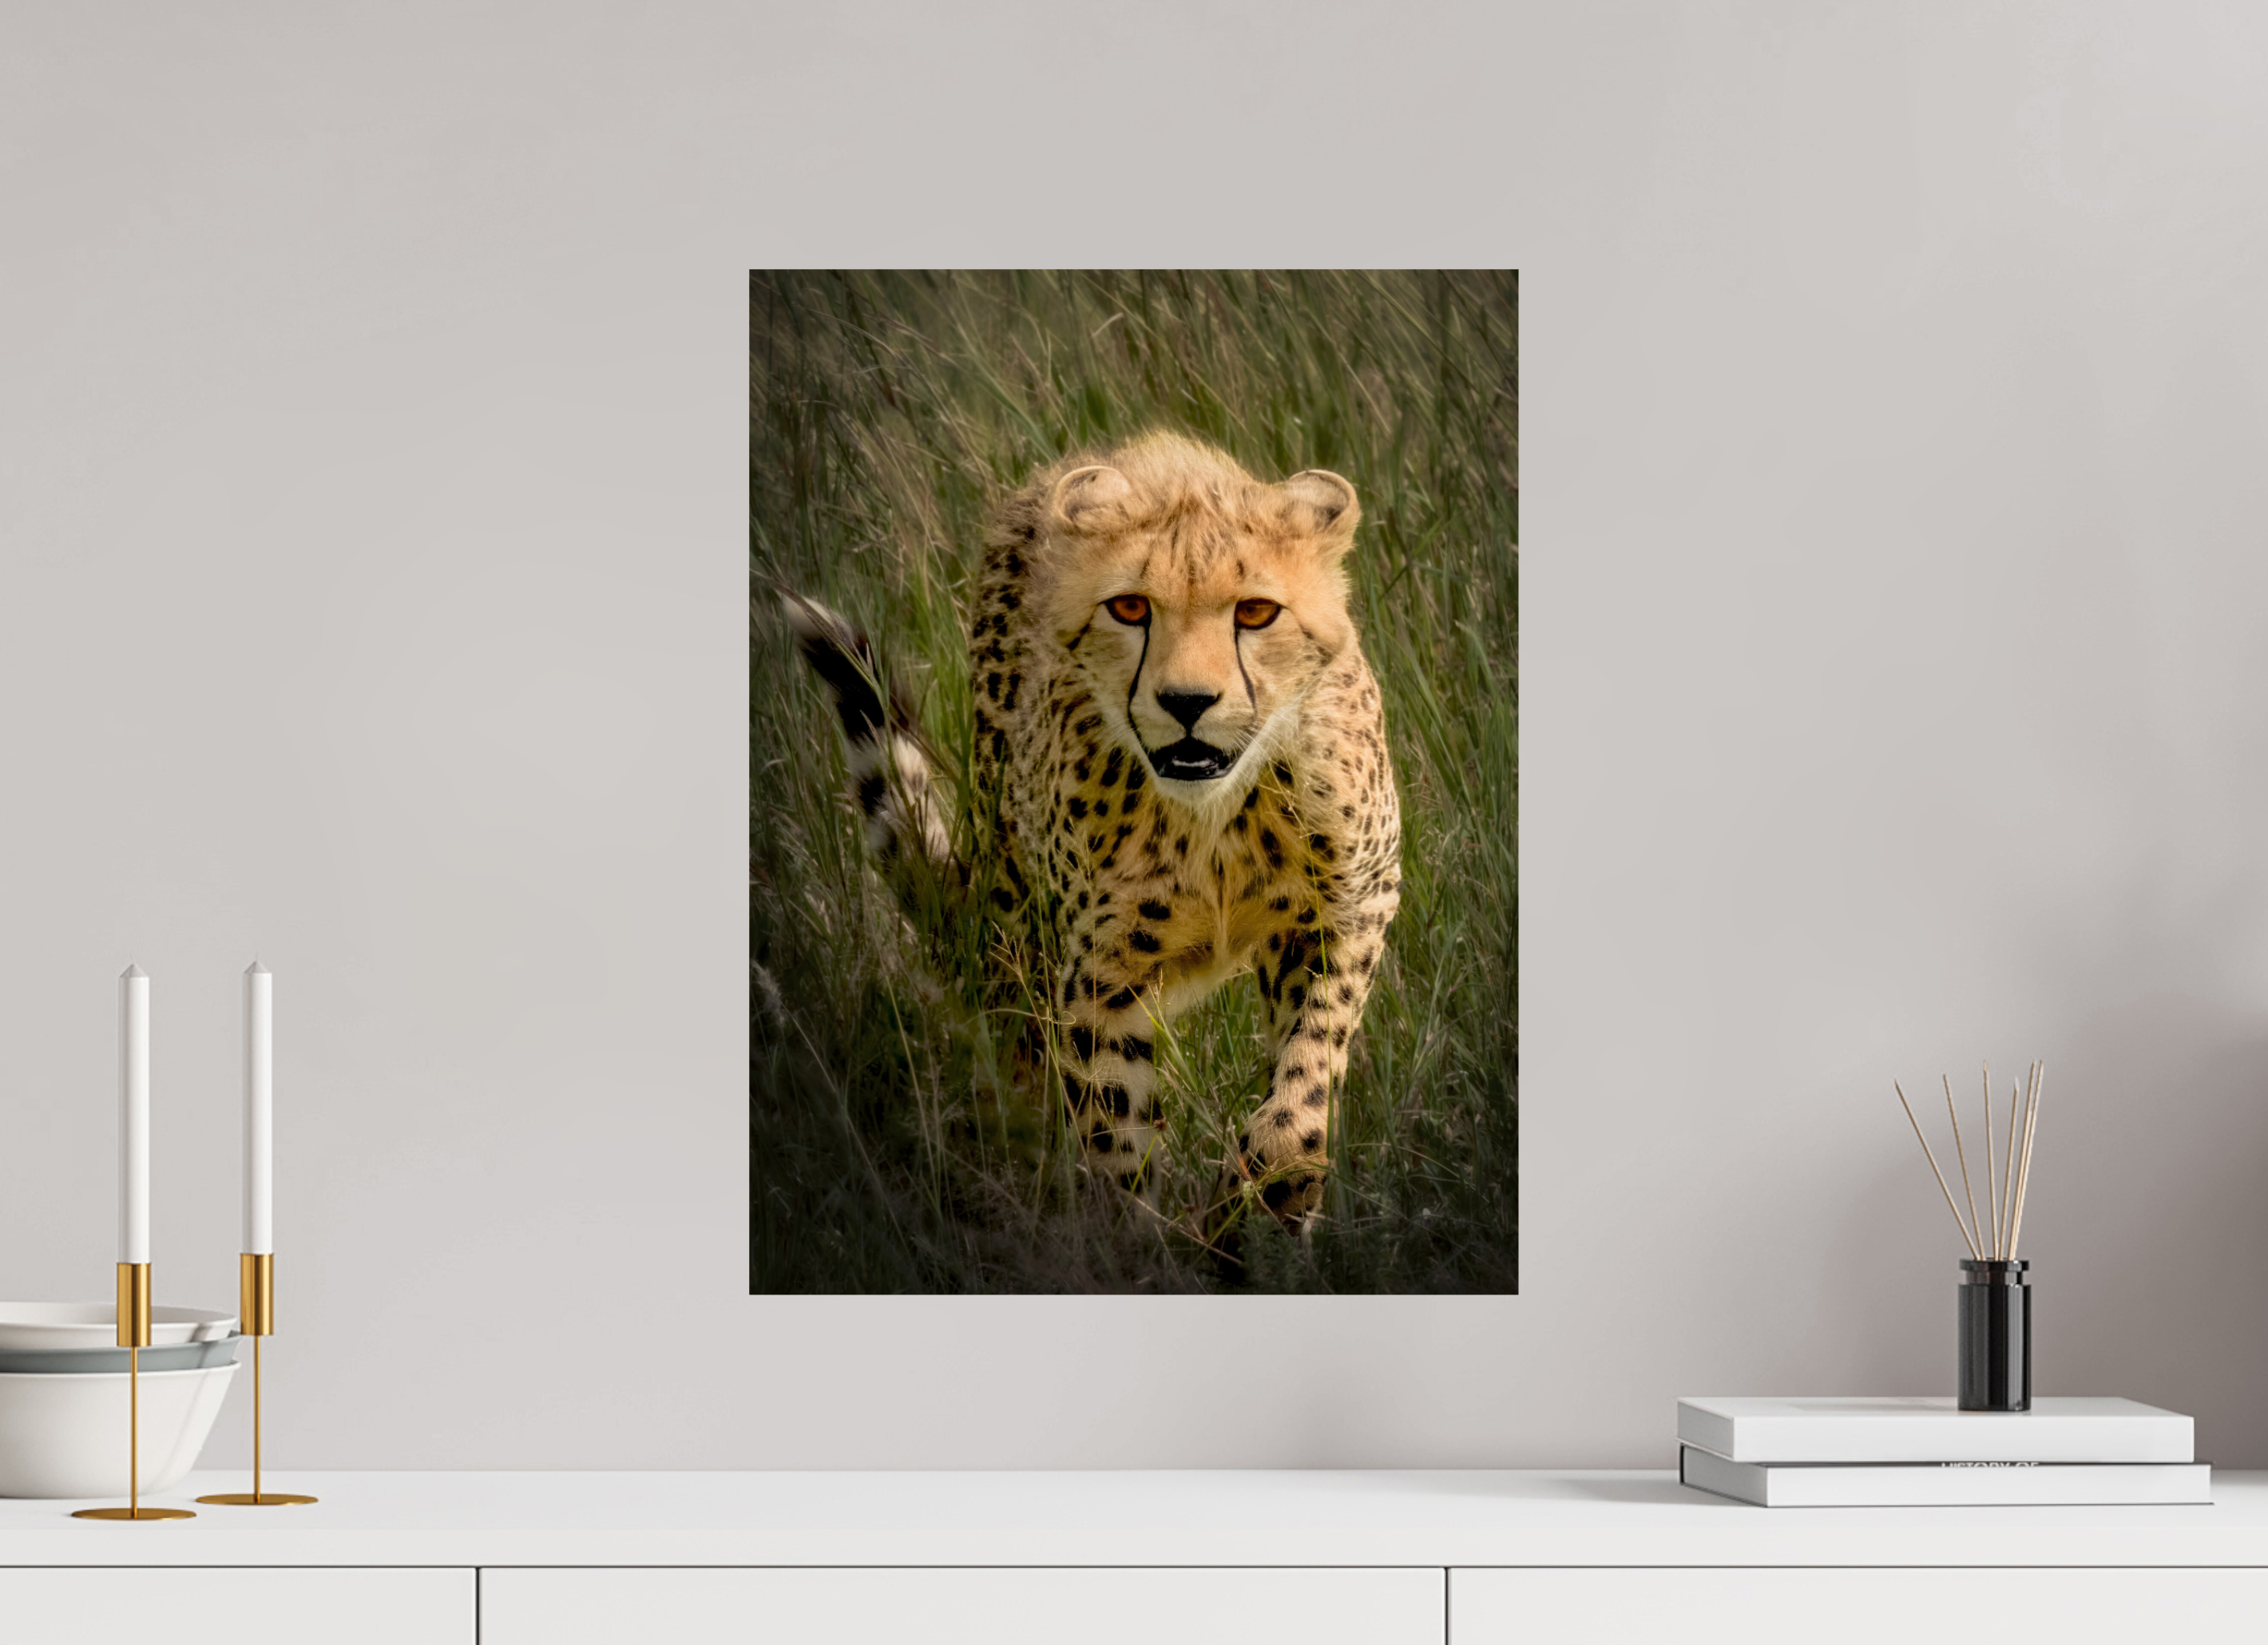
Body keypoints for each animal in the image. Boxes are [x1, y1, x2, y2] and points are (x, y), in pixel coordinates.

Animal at [785, 431, 1401, 1232]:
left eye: (1258, 612)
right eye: (1130, 607)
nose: (1187, 702)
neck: (1213, 814)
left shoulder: (1350, 908)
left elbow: (1307, 1073)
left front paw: (1268, 1188)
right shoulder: (1101, 975)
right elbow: (1114, 1128)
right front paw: (1135, 1241)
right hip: (1019, 919)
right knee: (1023, 1053)